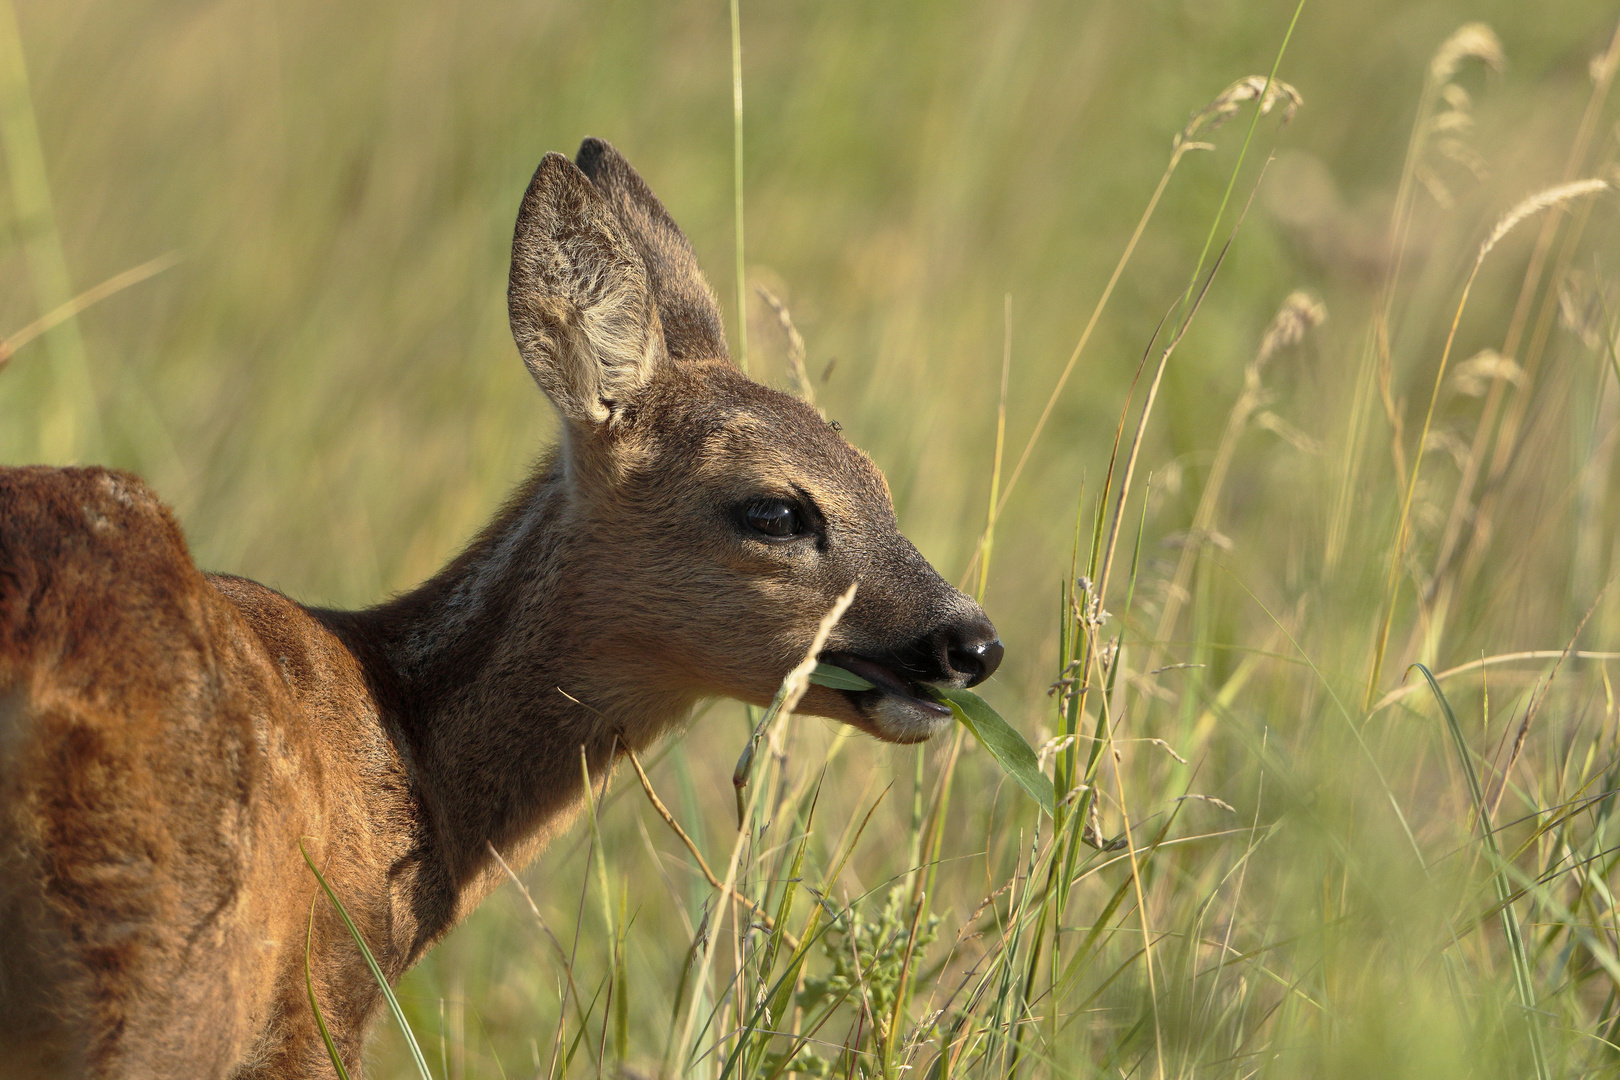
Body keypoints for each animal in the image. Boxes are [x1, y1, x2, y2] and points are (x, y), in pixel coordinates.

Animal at [0, 139, 997, 1075]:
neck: (406, 745)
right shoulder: (320, 999)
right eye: (779, 511)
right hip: (169, 955)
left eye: (882, 486)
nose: (973, 643)